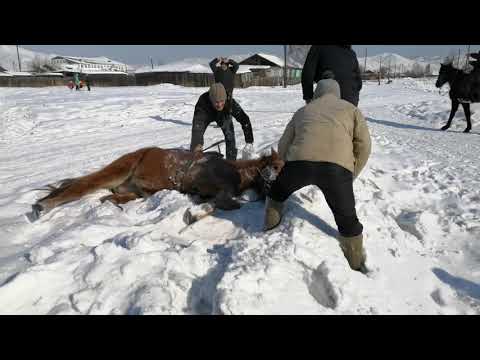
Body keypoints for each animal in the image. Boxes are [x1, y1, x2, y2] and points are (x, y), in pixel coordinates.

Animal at [26, 146, 284, 222]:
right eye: (275, 165)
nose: (273, 179)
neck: (235, 171)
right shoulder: (216, 189)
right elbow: (228, 203)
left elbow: (214, 204)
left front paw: (193, 215)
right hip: (116, 172)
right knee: (80, 186)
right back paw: (42, 206)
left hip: (132, 192)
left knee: (108, 197)